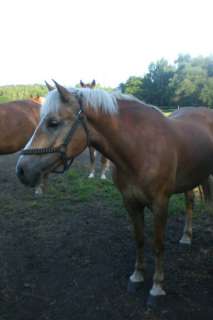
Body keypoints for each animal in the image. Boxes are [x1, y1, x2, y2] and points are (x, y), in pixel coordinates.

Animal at [16, 81, 213, 304]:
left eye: (53, 123)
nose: (21, 170)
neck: (141, 147)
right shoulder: (130, 202)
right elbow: (139, 239)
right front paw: (137, 276)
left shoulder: (160, 203)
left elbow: (158, 244)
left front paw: (156, 287)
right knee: (190, 202)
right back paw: (186, 237)